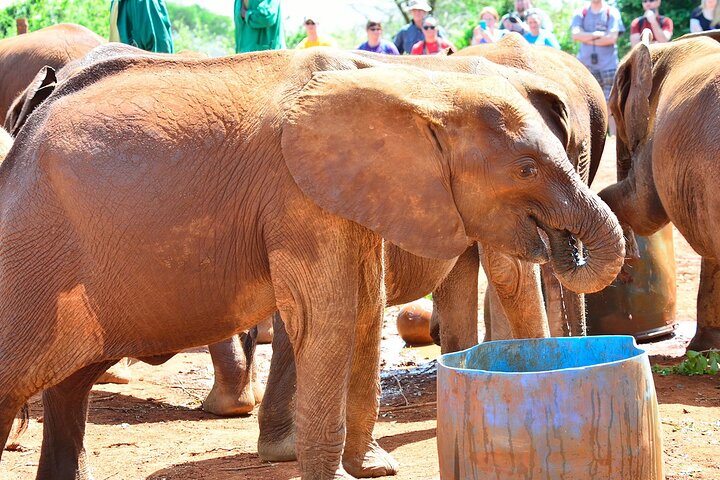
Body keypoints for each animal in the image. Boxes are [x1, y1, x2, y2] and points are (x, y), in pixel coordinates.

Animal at [0, 48, 624, 479]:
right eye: (526, 168)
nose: (565, 244)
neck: (415, 83)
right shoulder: (297, 194)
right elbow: (330, 317)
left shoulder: (352, 191)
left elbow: (365, 309)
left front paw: (372, 469)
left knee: (67, 391)